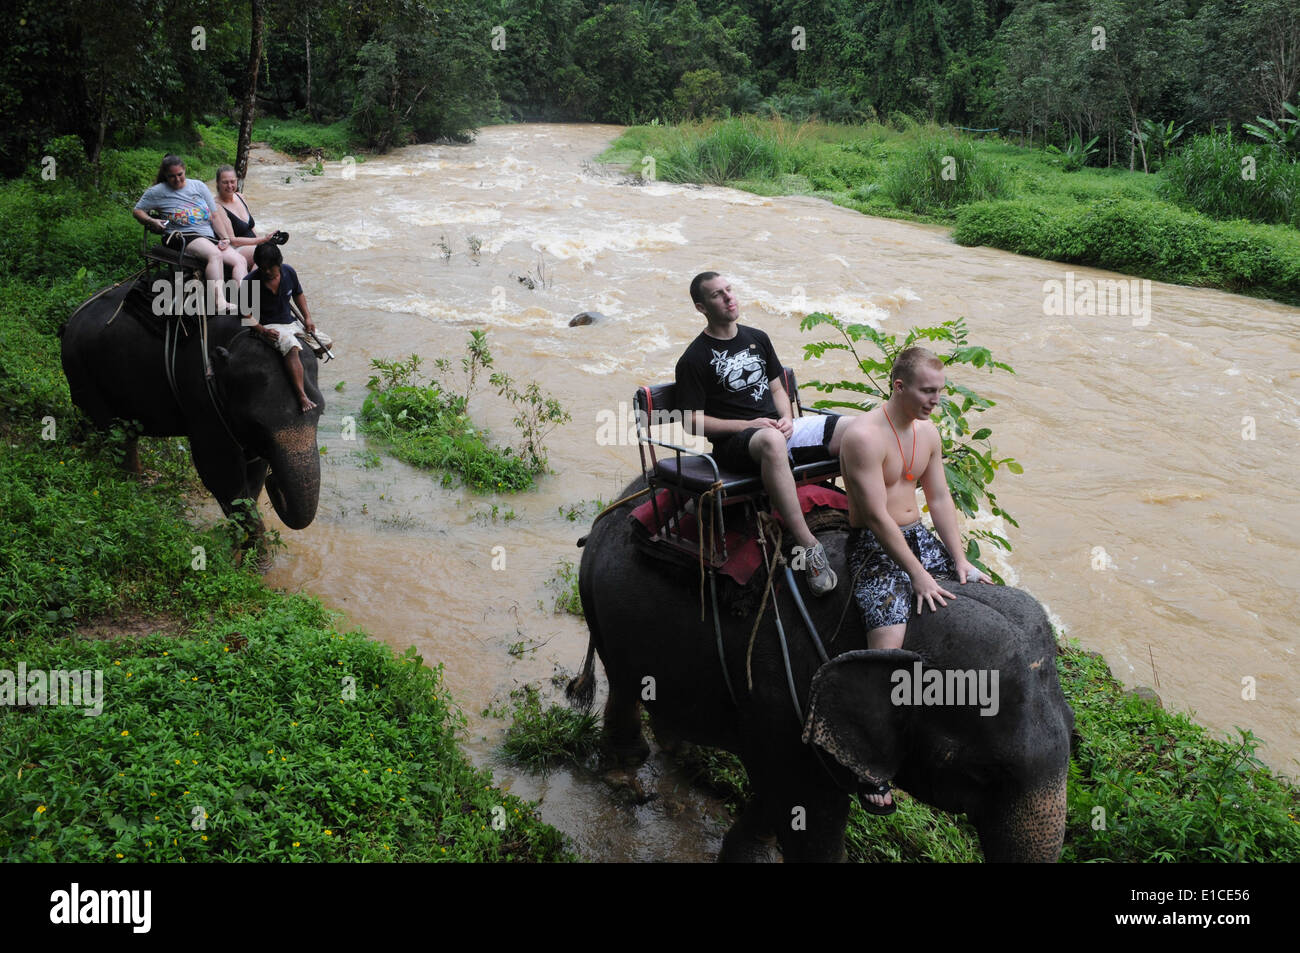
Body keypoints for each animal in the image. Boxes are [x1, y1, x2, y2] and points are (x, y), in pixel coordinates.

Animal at [59, 275, 325, 553]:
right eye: (257, 423)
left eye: (321, 413)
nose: (276, 485)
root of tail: (70, 320)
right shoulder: (199, 390)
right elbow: (220, 472)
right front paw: (257, 557)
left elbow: (253, 473)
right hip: (82, 370)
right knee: (116, 437)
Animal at [572, 475, 1076, 863]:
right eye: (980, 773)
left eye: (1074, 731)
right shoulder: (783, 690)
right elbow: (807, 810)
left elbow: (779, 796)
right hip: (597, 597)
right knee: (623, 682)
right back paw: (626, 777)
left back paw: (679, 751)